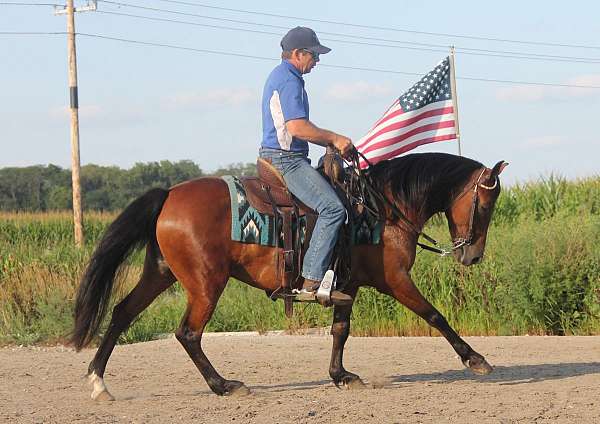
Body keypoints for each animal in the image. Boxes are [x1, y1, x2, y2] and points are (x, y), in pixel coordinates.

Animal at [72, 152, 508, 400]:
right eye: (486, 204)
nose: (472, 254)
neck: (382, 208)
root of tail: (169, 195)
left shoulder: (347, 285)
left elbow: (340, 330)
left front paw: (341, 376)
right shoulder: (395, 279)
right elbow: (435, 316)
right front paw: (476, 359)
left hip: (160, 273)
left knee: (122, 314)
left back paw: (98, 383)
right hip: (205, 283)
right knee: (188, 333)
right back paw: (225, 385)